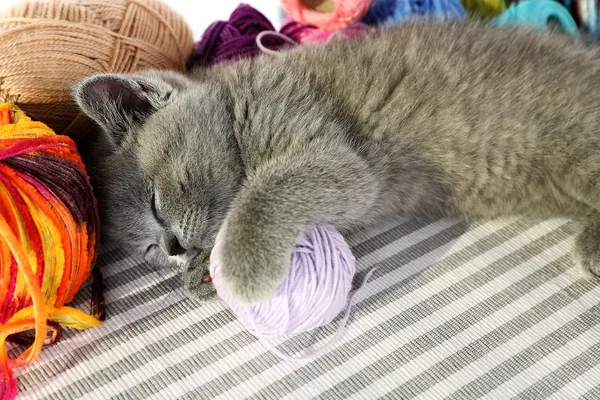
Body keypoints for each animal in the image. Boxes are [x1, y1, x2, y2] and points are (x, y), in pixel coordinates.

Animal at [76, 21, 600, 304]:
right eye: (148, 252)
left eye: (155, 201)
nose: (172, 247)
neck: (237, 106)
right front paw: (197, 275)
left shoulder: (335, 155)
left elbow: (268, 190)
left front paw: (234, 267)